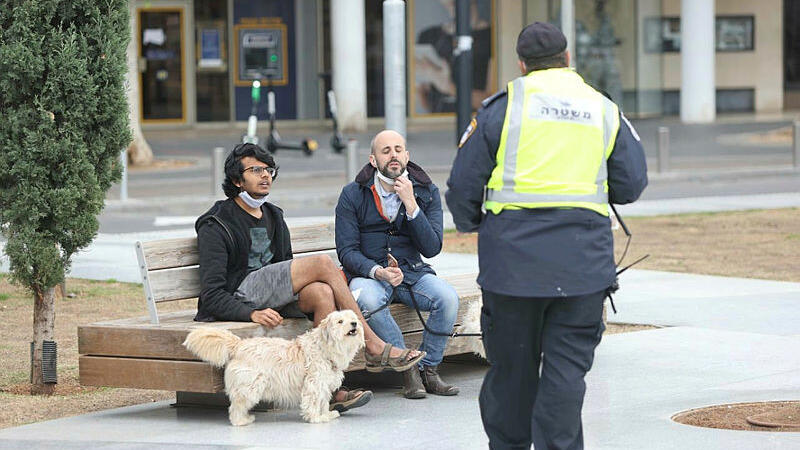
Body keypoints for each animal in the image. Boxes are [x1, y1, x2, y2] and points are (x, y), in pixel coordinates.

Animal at [183, 310, 364, 426]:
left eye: (352, 317)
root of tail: (239, 345)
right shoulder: (314, 384)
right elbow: (313, 402)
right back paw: (241, 421)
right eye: (340, 321)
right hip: (251, 386)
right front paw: (315, 418)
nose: (354, 323)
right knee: (236, 407)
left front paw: (326, 415)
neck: (324, 347)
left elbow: (323, 402)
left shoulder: (324, 386)